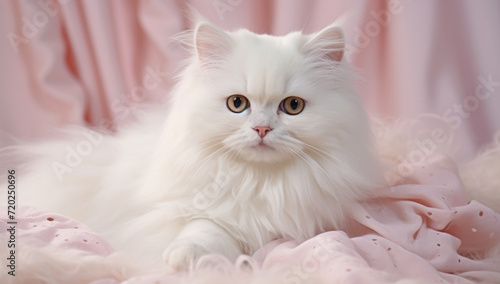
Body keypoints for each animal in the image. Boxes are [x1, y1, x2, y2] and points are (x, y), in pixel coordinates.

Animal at [6, 16, 378, 270]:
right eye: (237, 104)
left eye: (293, 107)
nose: (261, 129)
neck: (257, 182)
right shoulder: (193, 212)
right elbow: (203, 233)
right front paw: (182, 259)